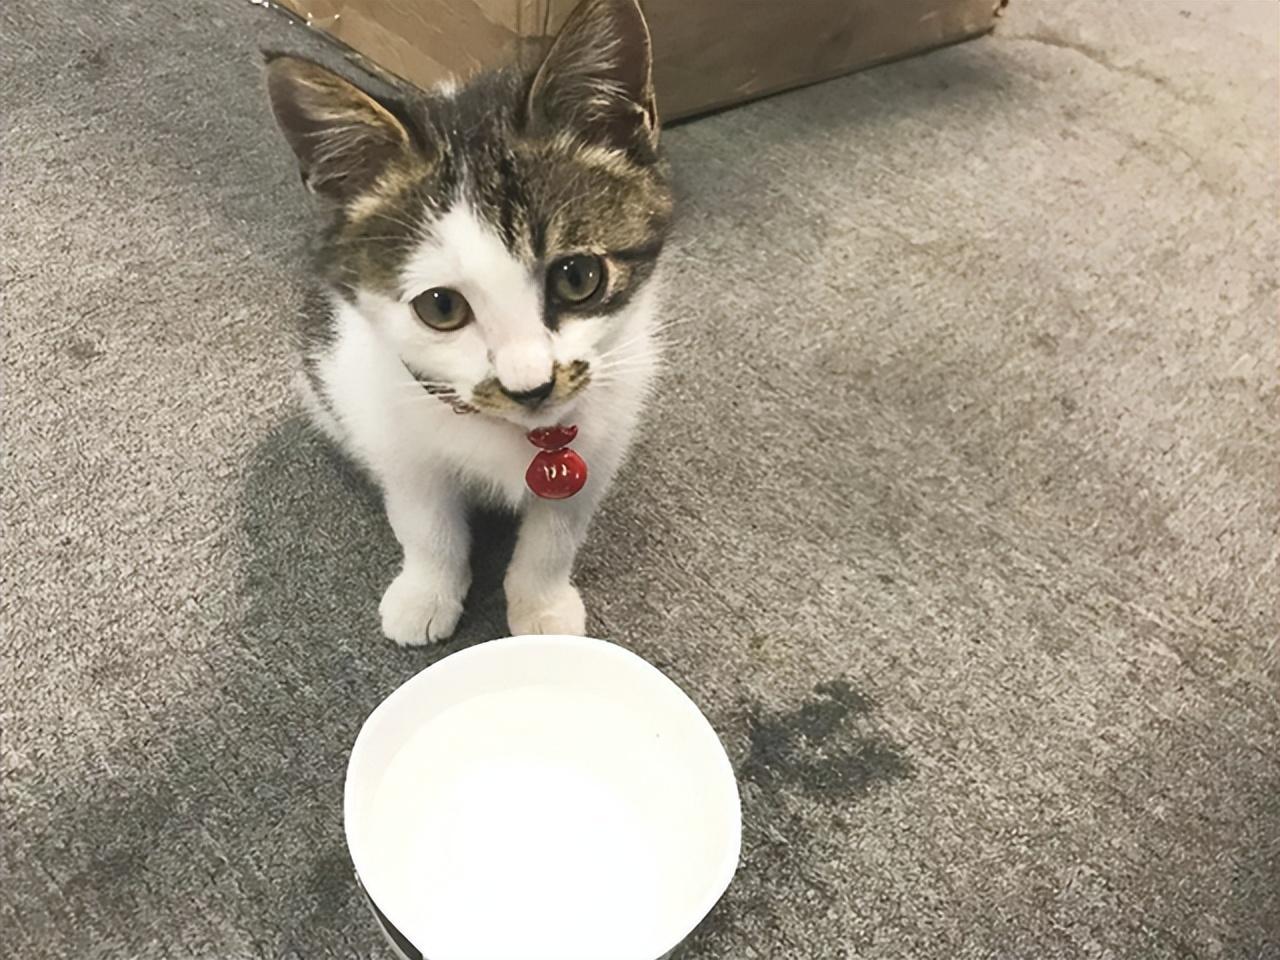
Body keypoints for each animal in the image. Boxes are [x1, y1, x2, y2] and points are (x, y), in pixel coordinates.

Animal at [264, 0, 672, 645]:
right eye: (441, 307)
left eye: (578, 276)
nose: (531, 387)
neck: (516, 434)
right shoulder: (396, 430)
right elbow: (426, 521)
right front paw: (426, 593)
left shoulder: (603, 432)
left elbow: (557, 530)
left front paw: (541, 605)